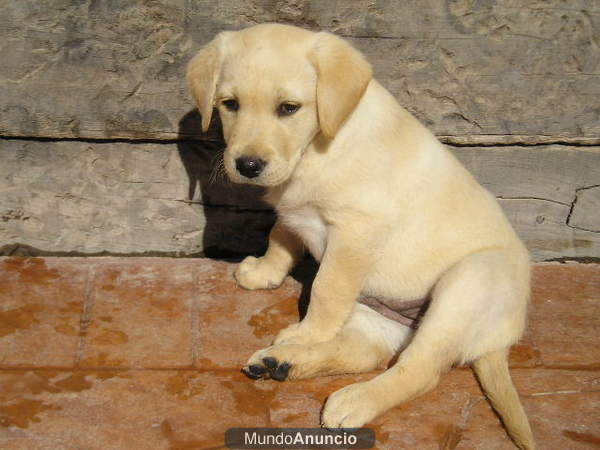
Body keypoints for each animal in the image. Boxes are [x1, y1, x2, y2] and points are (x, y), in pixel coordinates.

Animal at [188, 23, 536, 446]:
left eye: (289, 108)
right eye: (230, 104)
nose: (248, 165)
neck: (317, 147)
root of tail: (500, 342)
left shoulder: (356, 231)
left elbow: (325, 290)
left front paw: (308, 333)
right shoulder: (295, 206)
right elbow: (280, 235)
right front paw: (265, 273)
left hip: (467, 285)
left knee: (418, 370)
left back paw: (351, 398)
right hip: (380, 314)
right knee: (367, 353)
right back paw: (280, 363)